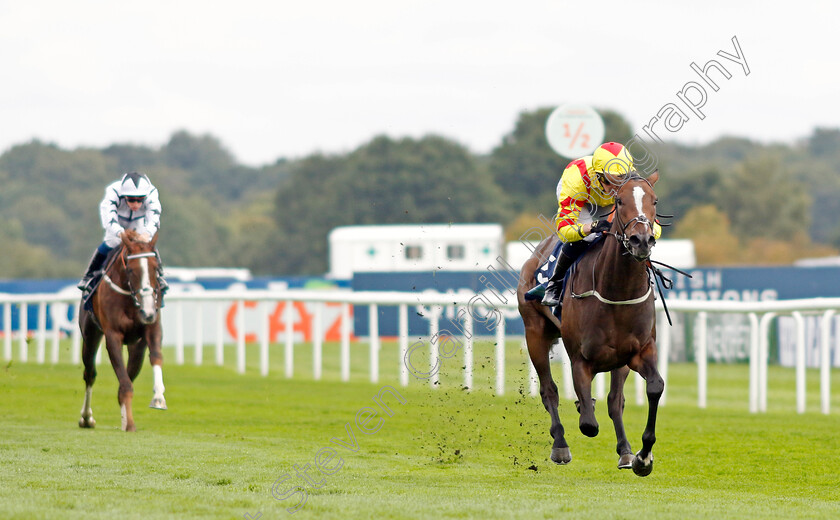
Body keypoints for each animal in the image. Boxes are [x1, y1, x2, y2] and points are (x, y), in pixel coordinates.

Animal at [79, 230, 168, 432]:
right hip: (90, 334)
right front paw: (130, 424)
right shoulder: (113, 335)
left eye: (156, 268)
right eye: (131, 270)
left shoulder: (152, 327)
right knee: (90, 374)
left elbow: (156, 357)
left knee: (130, 372)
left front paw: (158, 398)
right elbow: (124, 382)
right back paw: (87, 418)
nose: (148, 311)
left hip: (137, 348)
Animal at [520, 170, 664, 476]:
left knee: (615, 401)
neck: (616, 290)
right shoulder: (580, 359)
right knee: (549, 391)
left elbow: (653, 388)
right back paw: (560, 444)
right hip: (535, 333)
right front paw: (581, 410)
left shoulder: (639, 351)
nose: (641, 240)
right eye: (619, 201)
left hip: (620, 360)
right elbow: (588, 423)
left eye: (654, 200)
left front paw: (642, 456)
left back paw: (625, 450)